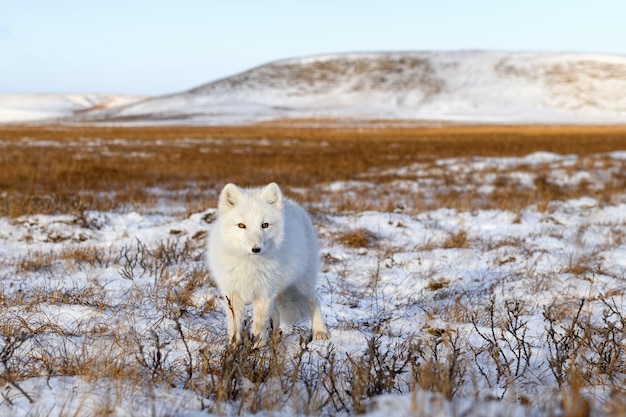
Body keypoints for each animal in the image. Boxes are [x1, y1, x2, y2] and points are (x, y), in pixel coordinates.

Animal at [207, 181, 330, 342]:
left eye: (264, 225)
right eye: (241, 225)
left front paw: (256, 345)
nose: (256, 249)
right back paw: (275, 335)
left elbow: (259, 324)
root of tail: (293, 203)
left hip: (303, 283)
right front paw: (234, 346)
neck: (249, 266)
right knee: (276, 314)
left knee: (314, 300)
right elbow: (234, 326)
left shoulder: (264, 292)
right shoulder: (232, 293)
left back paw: (320, 331)